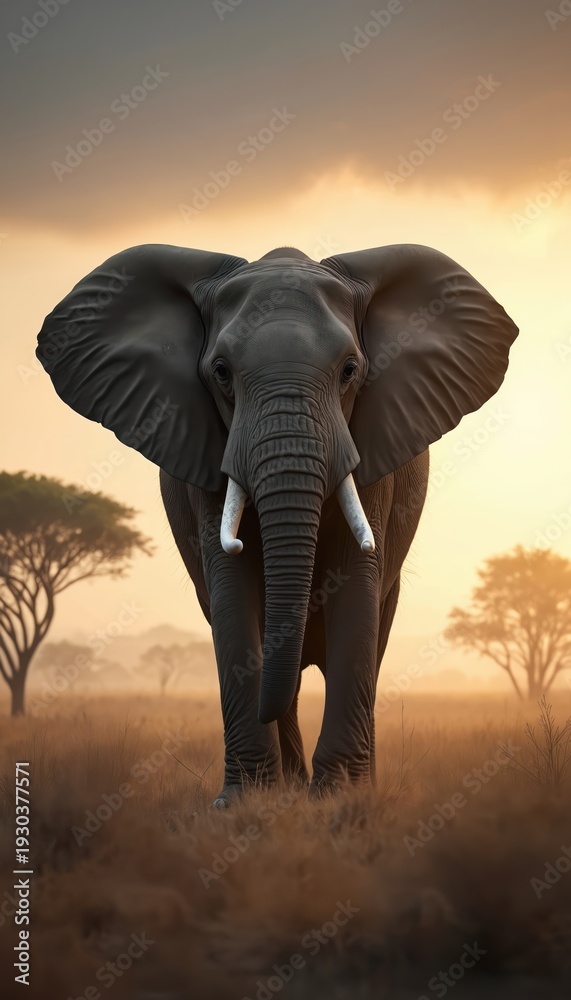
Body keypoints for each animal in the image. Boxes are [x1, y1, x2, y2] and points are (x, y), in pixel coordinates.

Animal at [37, 242, 518, 803]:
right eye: (221, 372)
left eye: (350, 370)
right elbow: (232, 588)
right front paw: (244, 803)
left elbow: (357, 581)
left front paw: (340, 799)